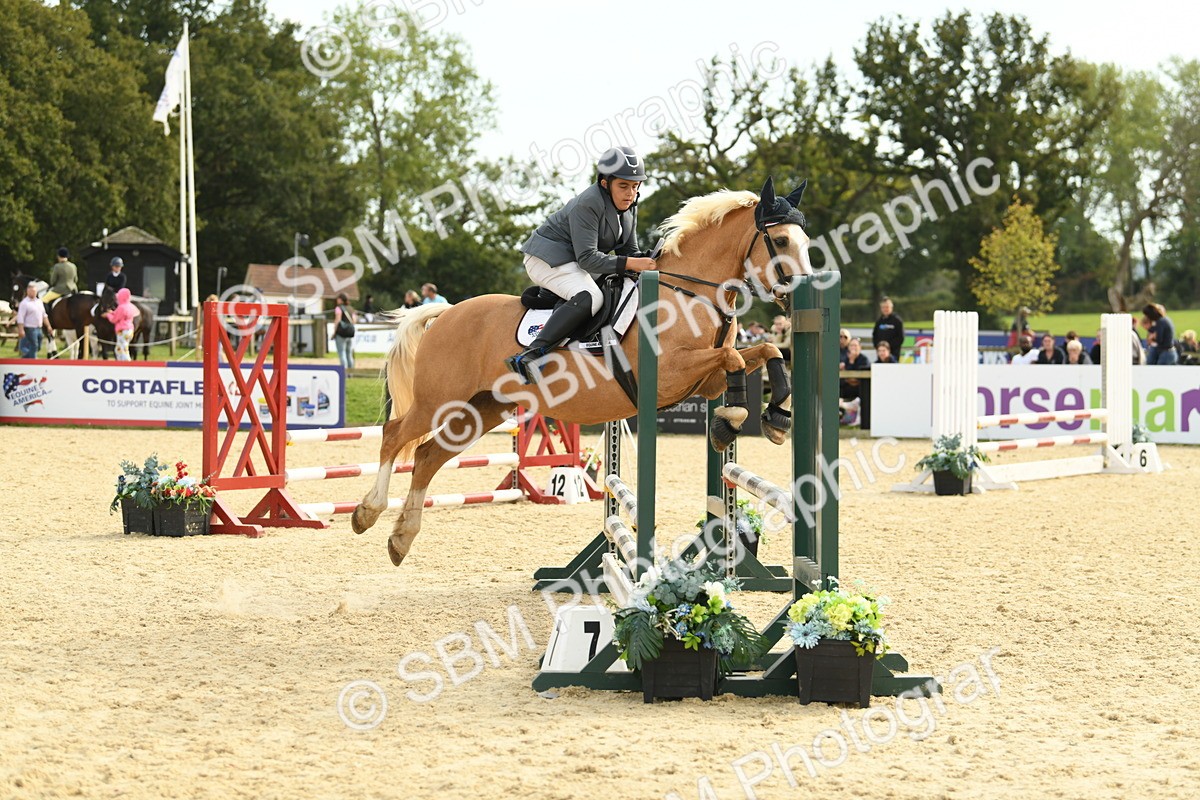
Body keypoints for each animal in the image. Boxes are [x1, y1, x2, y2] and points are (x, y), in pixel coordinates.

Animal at [351, 177, 815, 566]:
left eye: (806, 240)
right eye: (778, 239)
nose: (800, 296)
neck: (690, 292)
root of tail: (445, 312)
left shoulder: (705, 380)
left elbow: (762, 352)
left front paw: (773, 418)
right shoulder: (671, 374)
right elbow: (734, 359)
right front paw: (731, 421)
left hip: (482, 409)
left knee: (428, 456)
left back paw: (401, 540)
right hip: (438, 401)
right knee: (394, 436)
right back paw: (367, 513)